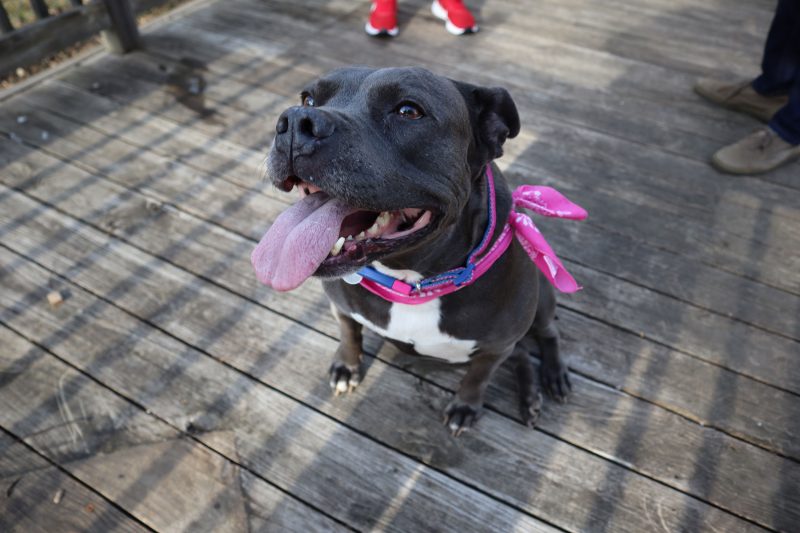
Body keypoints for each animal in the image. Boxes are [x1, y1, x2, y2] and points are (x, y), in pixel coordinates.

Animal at [253, 66, 584, 434]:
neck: (412, 281)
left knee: (547, 334)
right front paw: (346, 366)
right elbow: (349, 334)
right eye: (309, 99)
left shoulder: (494, 348)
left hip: (542, 297)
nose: (296, 121)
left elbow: (477, 378)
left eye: (409, 111)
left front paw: (466, 406)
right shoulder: (341, 307)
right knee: (523, 354)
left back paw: (553, 377)